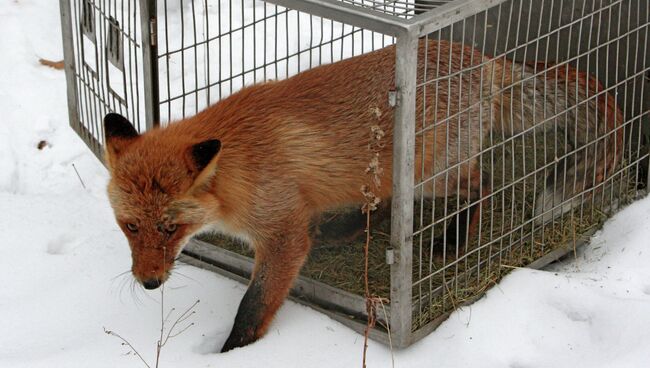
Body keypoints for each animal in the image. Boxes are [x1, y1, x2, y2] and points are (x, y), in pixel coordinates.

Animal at [58, 0, 644, 348]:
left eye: (171, 228)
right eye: (131, 227)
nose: (149, 283)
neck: (237, 171)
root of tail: (483, 58)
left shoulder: (283, 235)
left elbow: (254, 305)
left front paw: (234, 352)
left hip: (434, 174)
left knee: (482, 185)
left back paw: (456, 240)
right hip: (391, 174)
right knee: (387, 204)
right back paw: (350, 227)